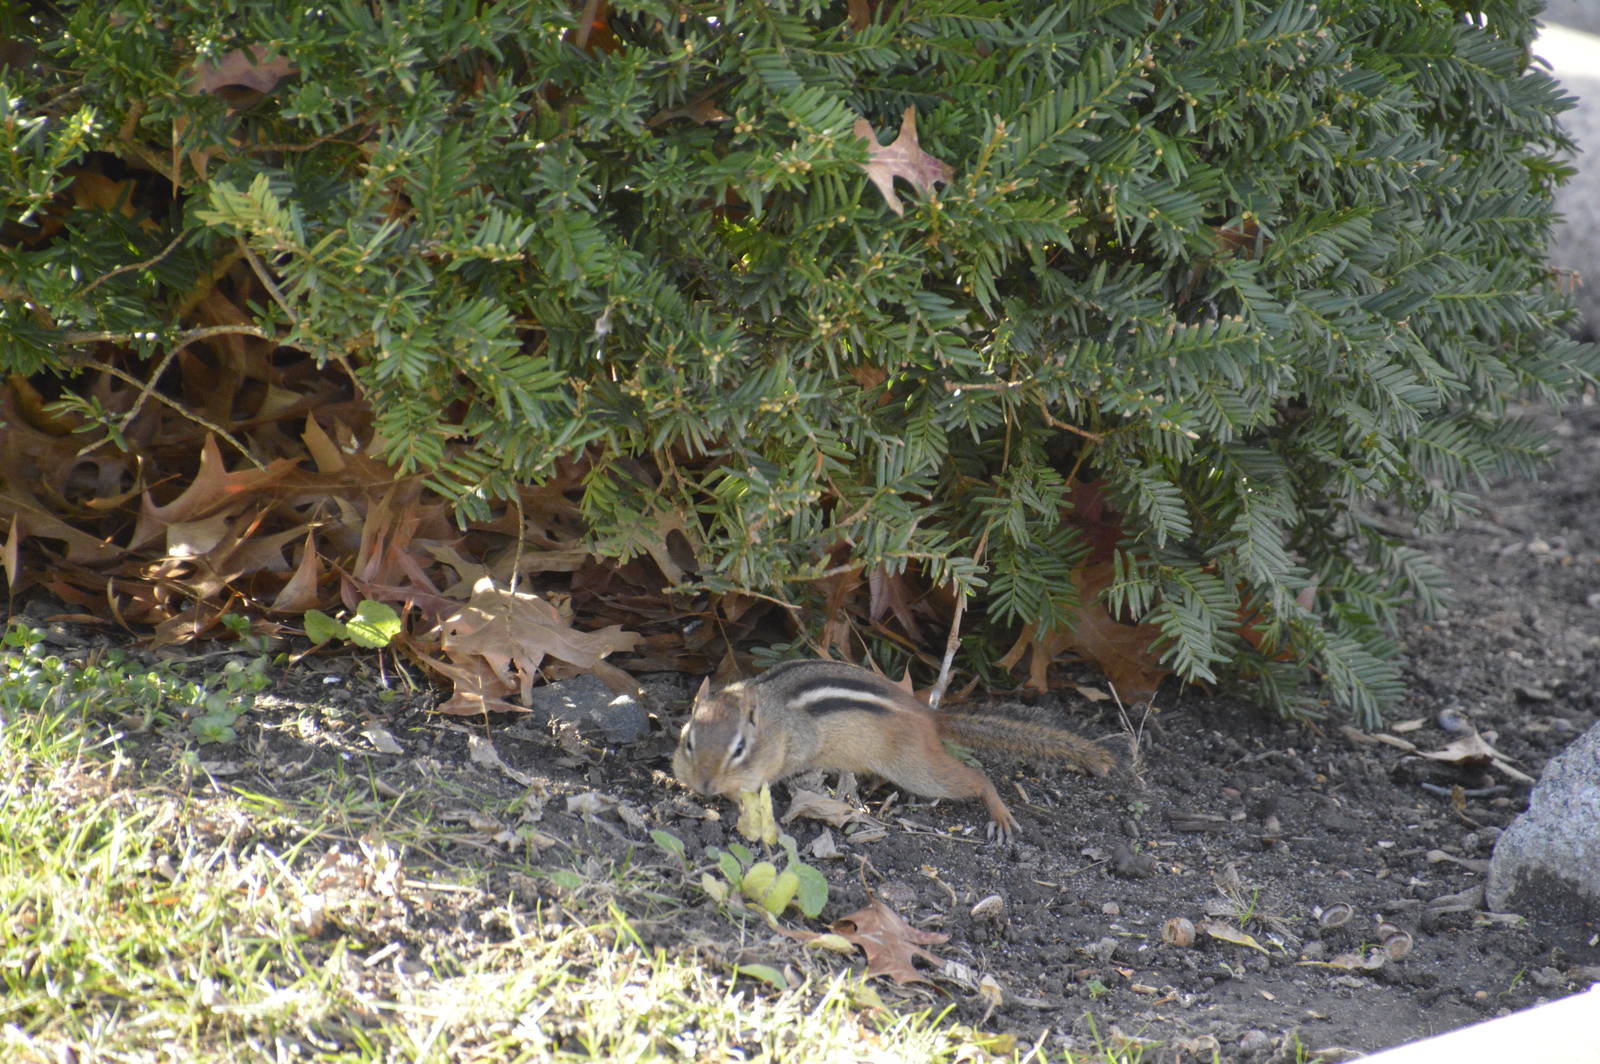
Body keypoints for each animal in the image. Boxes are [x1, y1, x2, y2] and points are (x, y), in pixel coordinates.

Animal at [671, 659, 1114, 843]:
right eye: (688, 741)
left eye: (739, 748)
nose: (706, 786)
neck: (771, 717)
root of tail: (929, 715)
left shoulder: (798, 744)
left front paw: (736, 793)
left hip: (917, 769)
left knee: (975, 778)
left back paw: (999, 813)